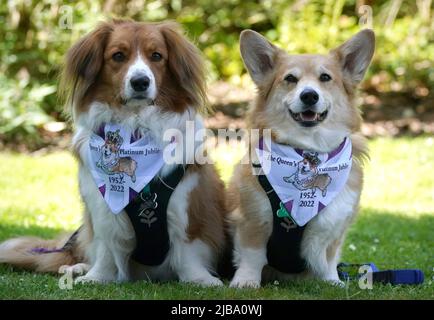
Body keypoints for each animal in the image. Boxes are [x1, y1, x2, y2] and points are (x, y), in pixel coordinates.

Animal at [0, 19, 229, 284]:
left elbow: (187, 250)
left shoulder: (187, 204)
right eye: (118, 56)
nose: (140, 82)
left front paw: (200, 279)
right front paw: (97, 276)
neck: (135, 125)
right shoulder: (103, 209)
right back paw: (78, 268)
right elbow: (107, 248)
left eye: (157, 56)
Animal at [229, 28, 374, 286]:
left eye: (325, 78)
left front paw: (332, 281)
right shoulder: (251, 219)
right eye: (290, 79)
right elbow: (252, 255)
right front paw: (245, 281)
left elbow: (328, 257)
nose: (309, 96)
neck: (308, 146)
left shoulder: (334, 227)